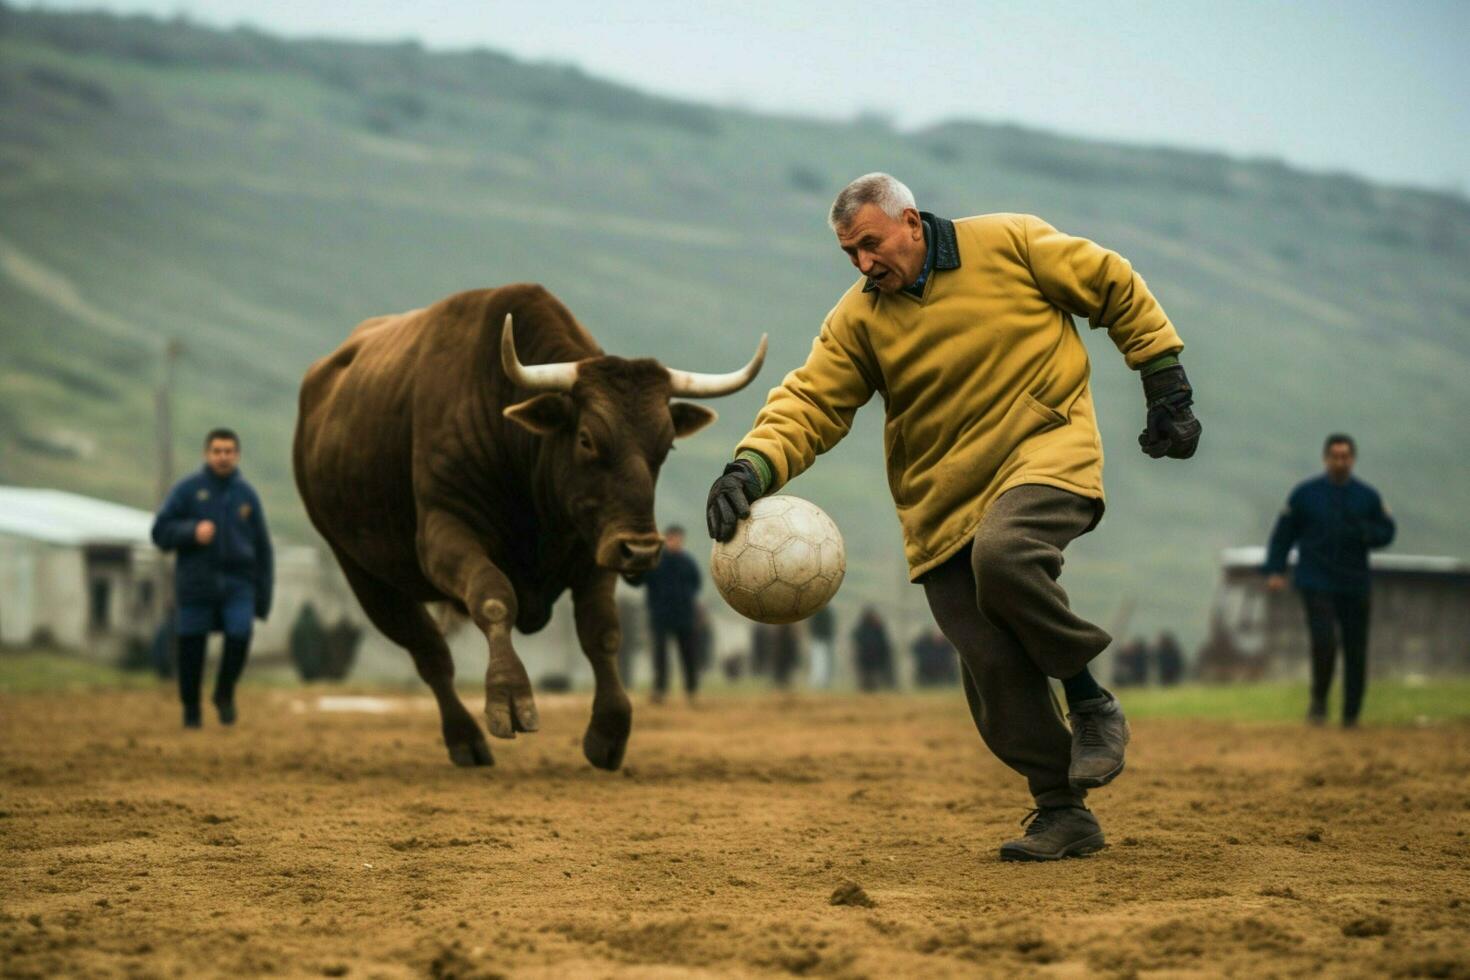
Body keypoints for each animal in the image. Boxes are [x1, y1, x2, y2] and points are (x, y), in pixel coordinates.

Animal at [292, 287, 764, 769]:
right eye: (586, 439)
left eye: (665, 445)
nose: (642, 551)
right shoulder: (445, 535)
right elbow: (494, 599)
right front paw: (509, 698)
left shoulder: (594, 548)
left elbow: (602, 631)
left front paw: (610, 729)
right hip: (365, 575)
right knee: (430, 654)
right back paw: (465, 739)